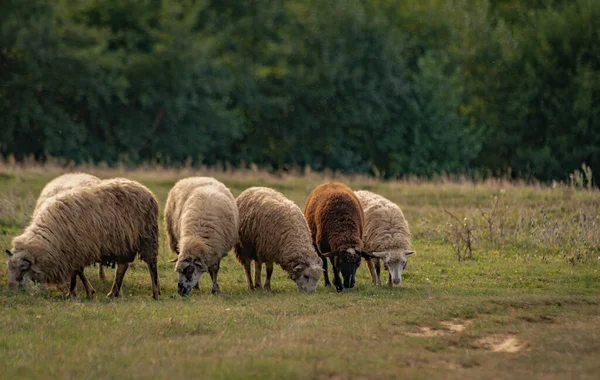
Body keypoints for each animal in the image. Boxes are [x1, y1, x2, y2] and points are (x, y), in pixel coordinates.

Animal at [5, 178, 161, 300]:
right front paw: (81, 292)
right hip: (123, 242)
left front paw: (79, 292)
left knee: (151, 265)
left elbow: (77, 272)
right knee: (122, 267)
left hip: (147, 237)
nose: (11, 290)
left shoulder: (78, 249)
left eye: (23, 269)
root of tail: (145, 190)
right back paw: (113, 293)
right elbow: (78, 272)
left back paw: (155, 293)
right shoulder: (72, 252)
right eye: (9, 268)